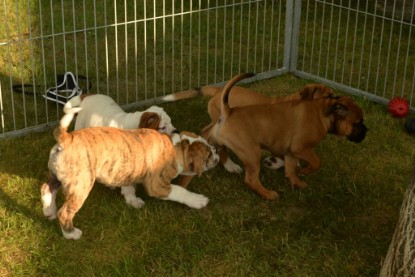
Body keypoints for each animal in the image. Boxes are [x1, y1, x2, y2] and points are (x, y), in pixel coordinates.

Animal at [40, 106, 219, 238]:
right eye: (208, 155)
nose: (216, 151)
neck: (178, 147)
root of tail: (66, 138)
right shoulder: (157, 184)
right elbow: (180, 191)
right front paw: (198, 200)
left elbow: (128, 186)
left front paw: (132, 200)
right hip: (81, 185)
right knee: (65, 212)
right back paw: (71, 234)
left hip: (58, 175)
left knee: (46, 188)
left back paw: (49, 211)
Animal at [203, 72, 368, 199]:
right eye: (358, 123)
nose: (366, 130)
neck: (322, 112)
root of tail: (228, 111)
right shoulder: (300, 147)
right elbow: (316, 162)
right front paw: (304, 171)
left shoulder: (290, 150)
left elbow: (290, 168)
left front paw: (296, 181)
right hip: (251, 151)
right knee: (251, 179)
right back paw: (267, 193)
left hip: (217, 134)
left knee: (208, 137)